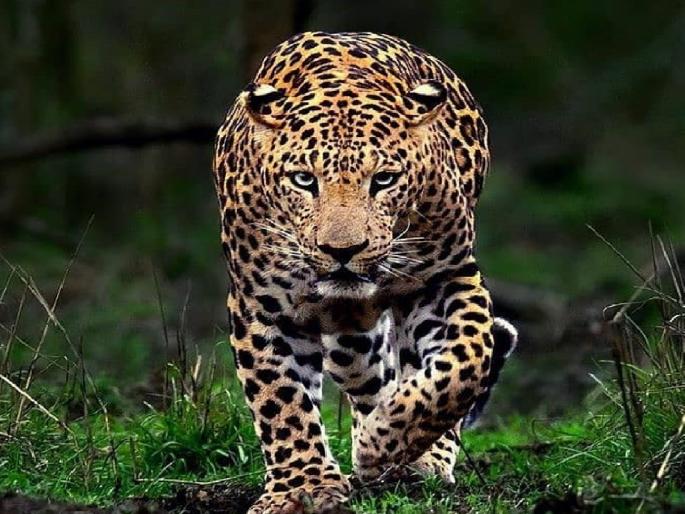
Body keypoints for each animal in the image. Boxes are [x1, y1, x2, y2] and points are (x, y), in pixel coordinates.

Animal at [213, 31, 518, 514]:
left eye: (385, 179)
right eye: (304, 180)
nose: (342, 250)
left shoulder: (445, 276)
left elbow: (465, 361)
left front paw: (384, 444)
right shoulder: (261, 304)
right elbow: (280, 400)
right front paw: (303, 488)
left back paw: (416, 455)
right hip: (350, 339)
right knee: (372, 377)